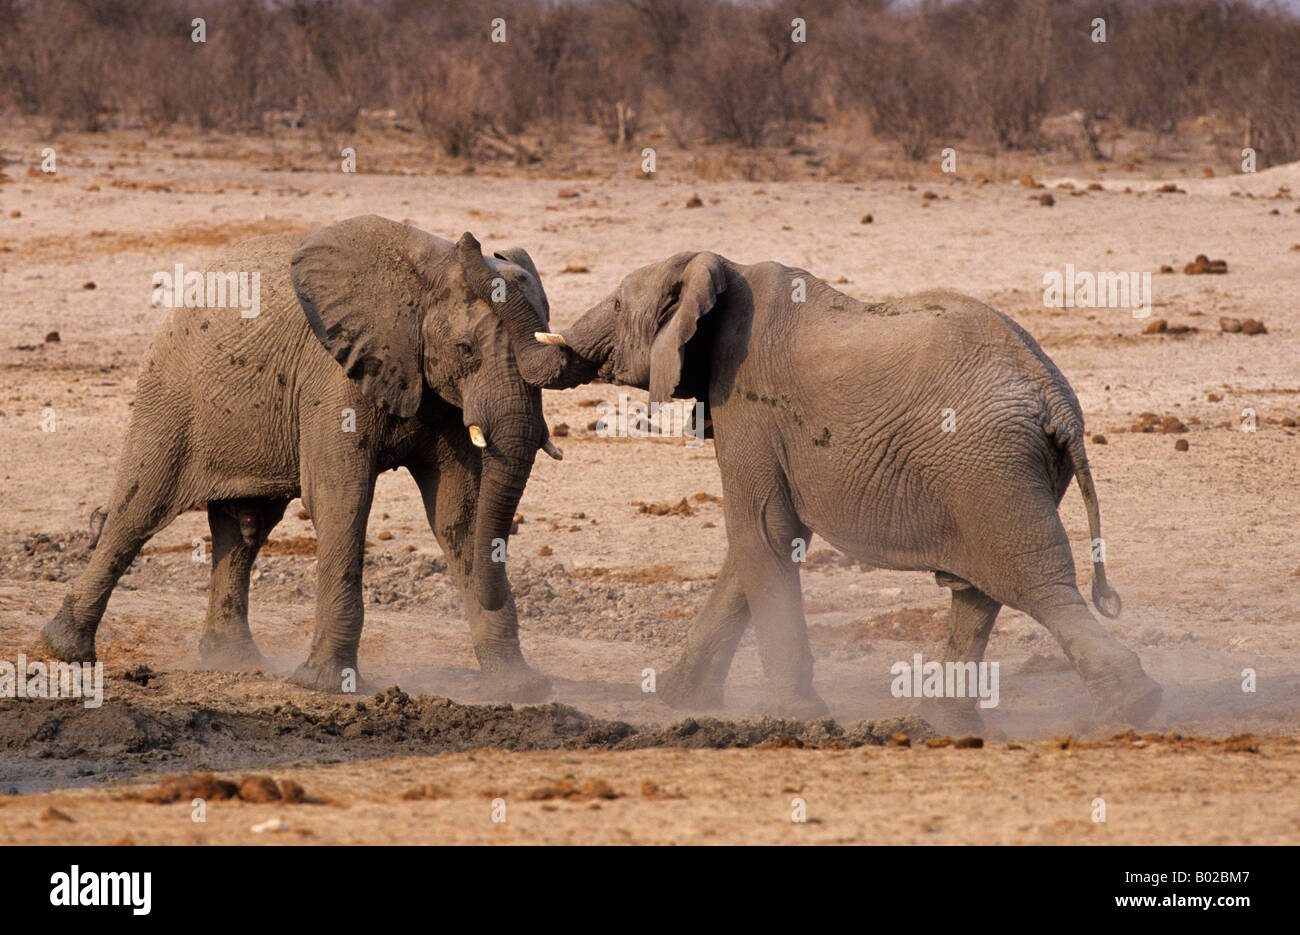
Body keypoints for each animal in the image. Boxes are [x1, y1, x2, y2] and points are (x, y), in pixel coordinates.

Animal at [44, 215, 569, 697]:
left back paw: (234, 662)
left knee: (245, 529)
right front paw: (326, 685)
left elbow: (458, 514)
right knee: (138, 511)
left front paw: (519, 689)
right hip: (171, 391)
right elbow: (342, 500)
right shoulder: (334, 377)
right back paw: (65, 648)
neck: (427, 274)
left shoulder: (441, 394)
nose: (474, 242)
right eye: (465, 349)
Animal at [533, 253, 1164, 733]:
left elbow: (762, 532)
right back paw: (945, 722)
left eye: (618, 305)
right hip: (1000, 470)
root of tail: (1056, 400)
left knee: (1036, 583)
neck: (721, 267)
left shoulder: (746, 401)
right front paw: (676, 699)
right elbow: (759, 544)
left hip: (988, 464)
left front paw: (792, 716)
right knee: (980, 588)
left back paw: (1130, 708)